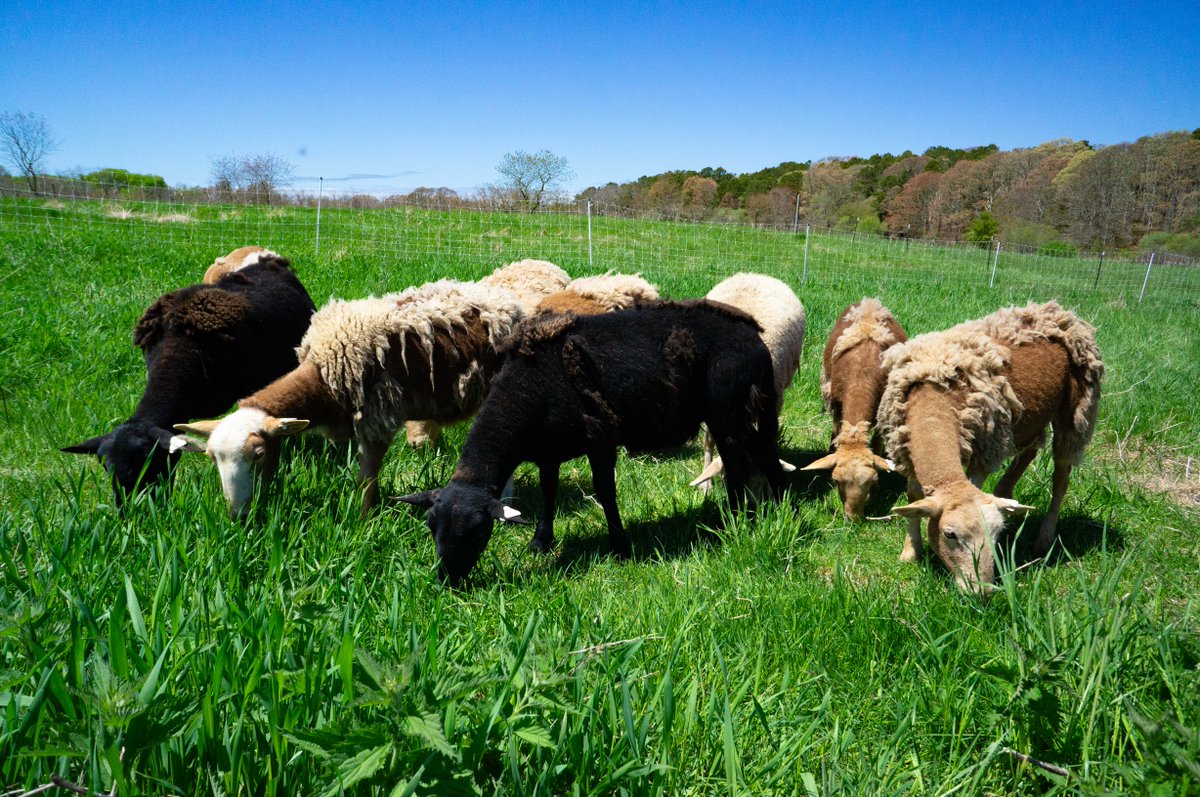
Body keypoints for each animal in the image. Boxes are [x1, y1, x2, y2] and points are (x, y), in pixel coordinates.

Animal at [174, 279, 525, 518]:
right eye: (212, 458)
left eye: (258, 454)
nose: (237, 516)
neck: (323, 373)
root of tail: (508, 303)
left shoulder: (376, 418)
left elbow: (366, 479)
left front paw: (362, 520)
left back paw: (506, 500)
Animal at [397, 299, 787, 587]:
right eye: (430, 527)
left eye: (478, 533)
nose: (447, 582)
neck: (526, 392)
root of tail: (753, 337)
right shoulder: (548, 450)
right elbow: (548, 491)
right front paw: (541, 542)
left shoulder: (601, 440)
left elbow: (605, 492)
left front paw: (620, 547)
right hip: (750, 406)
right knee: (764, 451)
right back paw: (778, 504)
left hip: (729, 409)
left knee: (737, 460)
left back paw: (737, 518)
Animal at [800, 298, 908, 519]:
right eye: (837, 481)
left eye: (872, 481)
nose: (853, 519)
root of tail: (870, 301)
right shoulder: (837, 407)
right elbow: (836, 434)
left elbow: (877, 445)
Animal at [876, 301, 1103, 591]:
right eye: (950, 534)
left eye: (997, 535)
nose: (983, 592)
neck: (933, 409)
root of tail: (1058, 312)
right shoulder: (908, 452)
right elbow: (914, 498)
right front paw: (910, 551)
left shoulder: (982, 454)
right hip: (1029, 419)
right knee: (1029, 451)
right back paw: (1006, 493)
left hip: (1074, 414)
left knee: (1061, 480)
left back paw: (1044, 539)